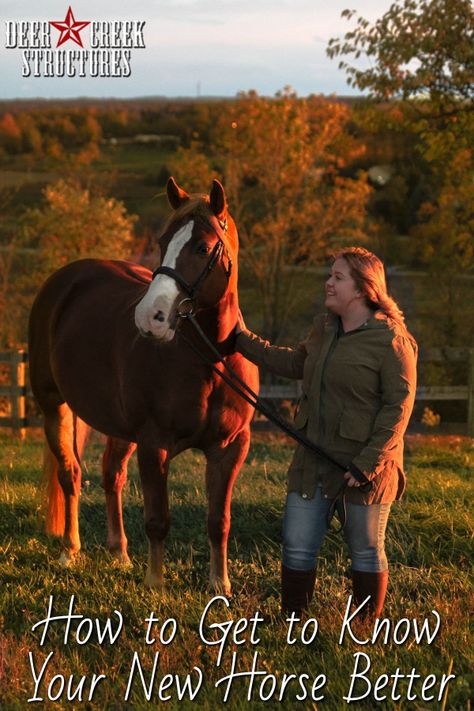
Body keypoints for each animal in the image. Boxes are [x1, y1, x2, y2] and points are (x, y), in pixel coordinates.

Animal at [28, 178, 260, 596]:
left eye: (203, 248)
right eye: (162, 241)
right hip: (55, 407)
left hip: (120, 428)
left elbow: (218, 522)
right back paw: (70, 550)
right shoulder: (155, 445)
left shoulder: (230, 449)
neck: (210, 361)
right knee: (70, 474)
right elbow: (157, 520)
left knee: (111, 475)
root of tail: (67, 278)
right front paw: (155, 583)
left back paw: (119, 553)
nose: (150, 318)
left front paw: (220, 583)